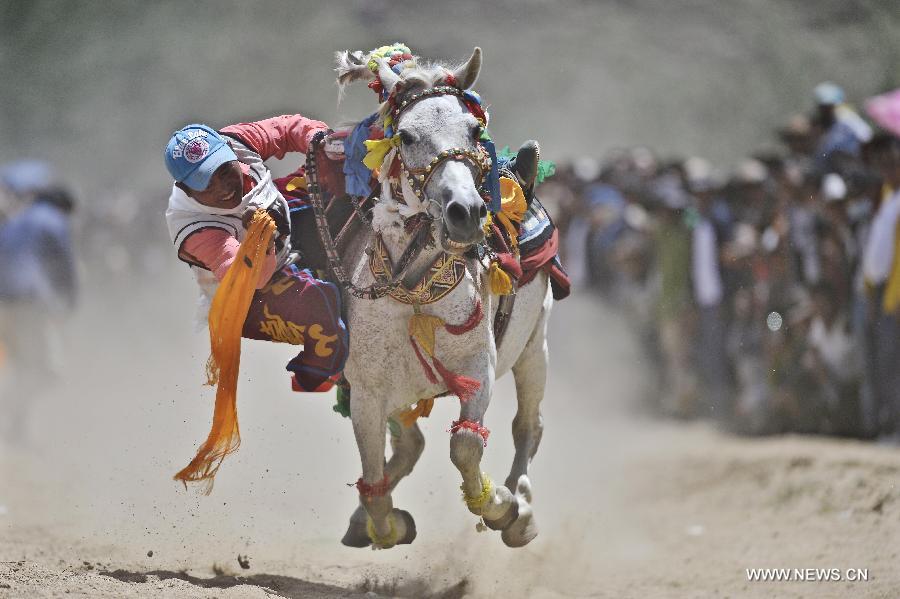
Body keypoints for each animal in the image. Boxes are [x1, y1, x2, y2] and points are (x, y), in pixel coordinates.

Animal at [334, 49, 552, 552]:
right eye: (407, 136)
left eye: (473, 130)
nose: (466, 213)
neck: (416, 289)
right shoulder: (367, 391)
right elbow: (373, 480)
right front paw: (385, 524)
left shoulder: (477, 368)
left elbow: (466, 446)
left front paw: (501, 508)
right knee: (408, 446)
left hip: (535, 343)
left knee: (527, 427)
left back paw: (522, 508)